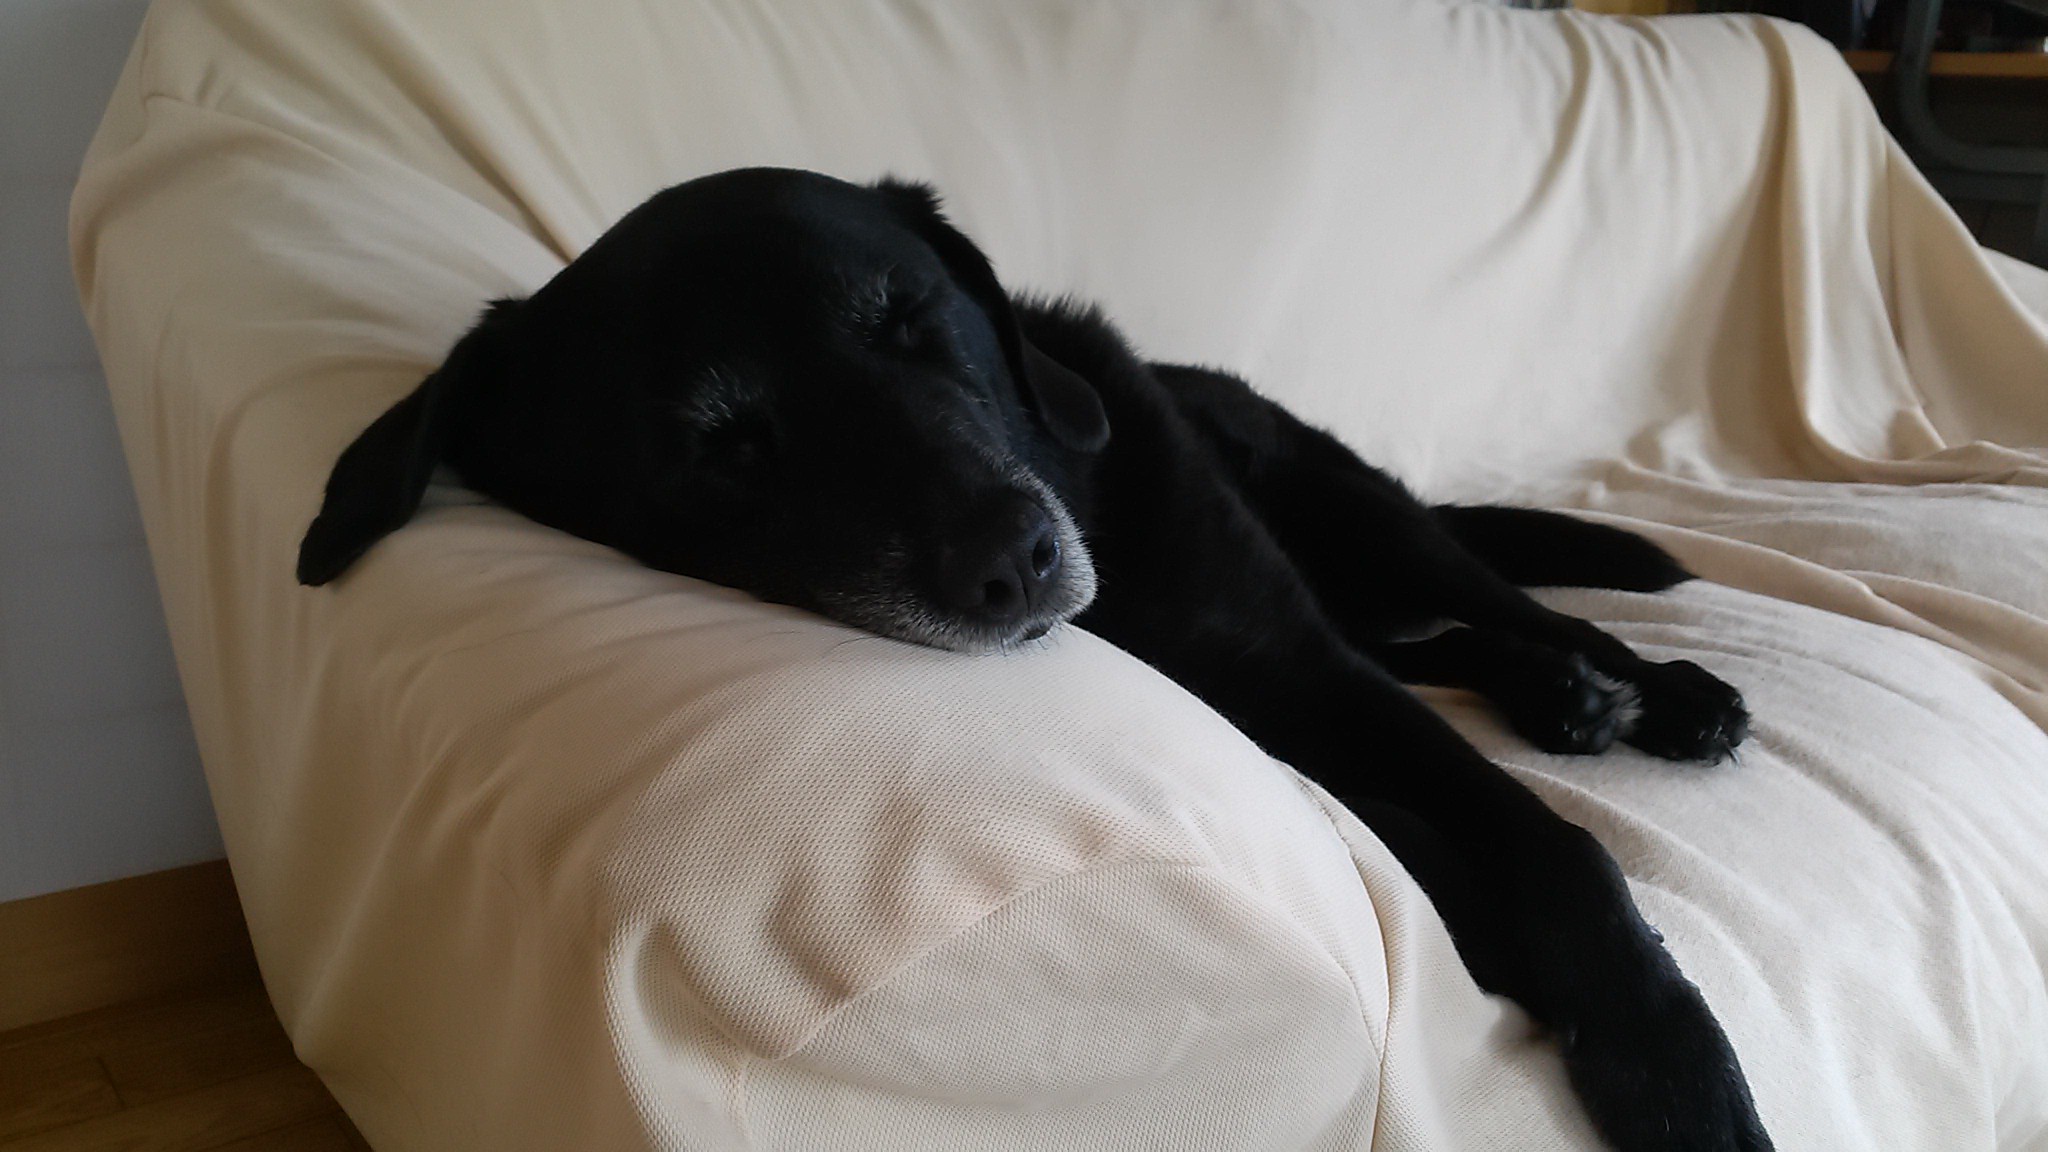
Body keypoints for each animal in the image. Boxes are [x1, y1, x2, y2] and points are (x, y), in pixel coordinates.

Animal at [299, 167, 1769, 1152]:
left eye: (909, 319)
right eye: (723, 447)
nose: (1015, 556)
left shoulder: (1304, 669)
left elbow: (1560, 854)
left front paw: (1676, 1071)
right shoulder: (1304, 736)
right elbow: (1430, 846)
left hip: (1372, 525)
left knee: (1513, 607)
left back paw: (1654, 692)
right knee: (1454, 647)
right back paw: (1567, 702)